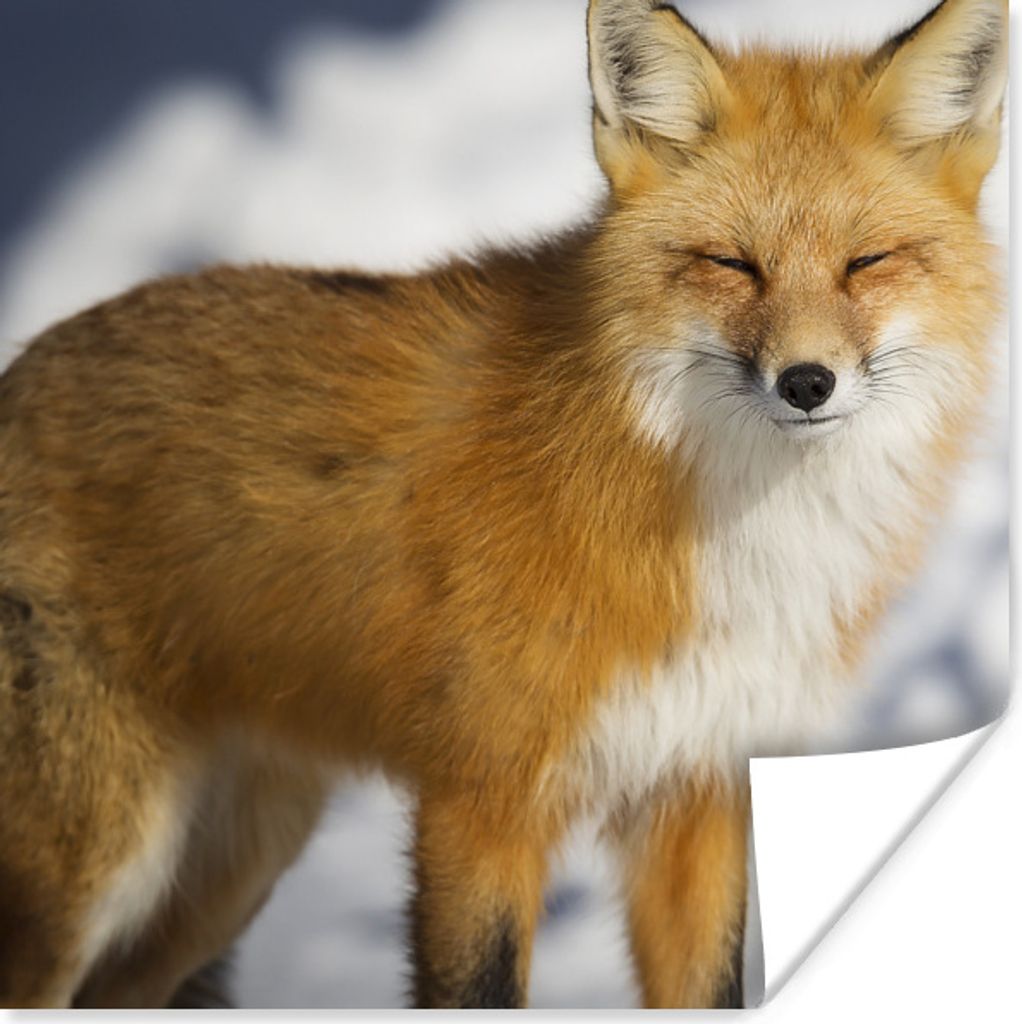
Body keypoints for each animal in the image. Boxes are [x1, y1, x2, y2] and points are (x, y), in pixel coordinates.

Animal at [0, 0, 1007, 1010]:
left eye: (865, 262)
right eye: (732, 264)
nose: (806, 382)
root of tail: (23, 366)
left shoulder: (698, 784)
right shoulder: (481, 799)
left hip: (229, 872)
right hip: (91, 875)